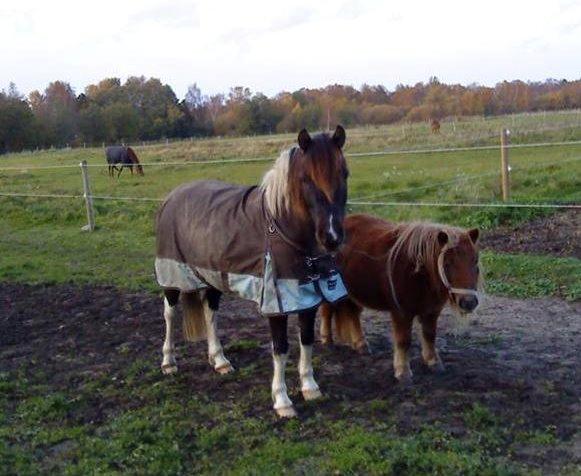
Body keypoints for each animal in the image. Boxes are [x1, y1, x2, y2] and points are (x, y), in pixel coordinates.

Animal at [153, 125, 348, 416]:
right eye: (306, 178)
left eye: (344, 173)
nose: (332, 237)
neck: (281, 227)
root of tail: (173, 196)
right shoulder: (276, 302)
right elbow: (280, 348)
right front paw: (282, 401)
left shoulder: (307, 298)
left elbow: (306, 340)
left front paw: (310, 387)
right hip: (173, 275)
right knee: (169, 314)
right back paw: (168, 362)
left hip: (212, 276)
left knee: (210, 314)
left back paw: (220, 361)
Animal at [318, 216, 480, 384]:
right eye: (447, 264)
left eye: (475, 261)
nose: (469, 302)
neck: (419, 272)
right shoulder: (402, 312)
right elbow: (403, 340)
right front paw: (403, 372)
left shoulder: (432, 311)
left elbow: (430, 335)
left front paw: (433, 362)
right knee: (326, 311)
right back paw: (327, 340)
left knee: (353, 314)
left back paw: (361, 344)